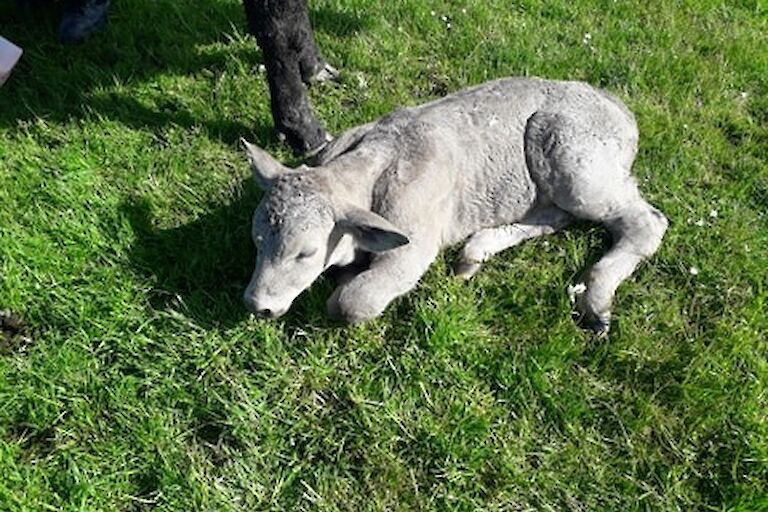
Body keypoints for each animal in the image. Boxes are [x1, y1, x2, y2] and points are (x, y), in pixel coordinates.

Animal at [240, 75, 664, 332]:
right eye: (257, 242)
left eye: (306, 253)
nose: (256, 305)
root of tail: (616, 105)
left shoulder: (413, 244)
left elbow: (351, 302)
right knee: (555, 215)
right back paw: (476, 251)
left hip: (578, 162)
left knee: (646, 221)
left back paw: (596, 297)